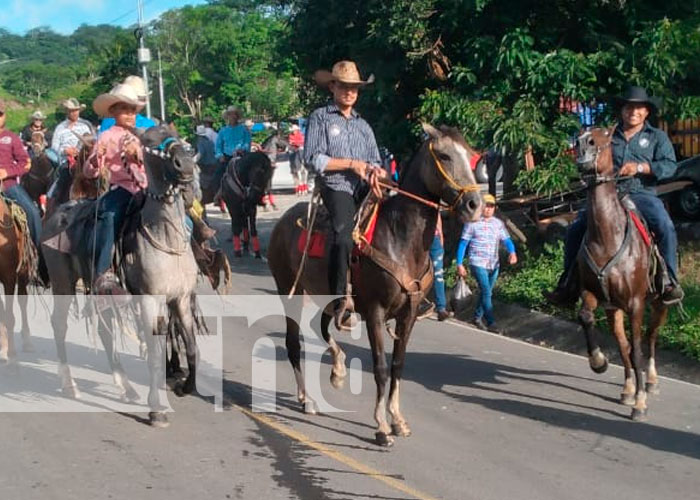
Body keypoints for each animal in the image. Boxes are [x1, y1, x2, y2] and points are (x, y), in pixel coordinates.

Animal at [266, 124, 482, 446]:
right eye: (444, 155)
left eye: (470, 155)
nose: (475, 205)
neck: (399, 239)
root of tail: (282, 222)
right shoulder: (375, 312)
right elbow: (379, 367)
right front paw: (381, 426)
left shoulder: (409, 314)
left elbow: (397, 365)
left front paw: (398, 420)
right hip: (288, 290)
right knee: (293, 343)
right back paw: (307, 400)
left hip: (327, 297)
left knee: (321, 326)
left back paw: (337, 368)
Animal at [576, 128, 668, 422]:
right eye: (581, 135)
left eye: (604, 135)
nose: (583, 146)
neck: (607, 236)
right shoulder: (593, 294)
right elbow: (586, 318)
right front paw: (598, 362)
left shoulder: (636, 303)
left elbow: (637, 348)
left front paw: (640, 403)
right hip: (613, 309)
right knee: (621, 342)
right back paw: (628, 388)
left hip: (660, 303)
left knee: (650, 338)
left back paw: (650, 381)